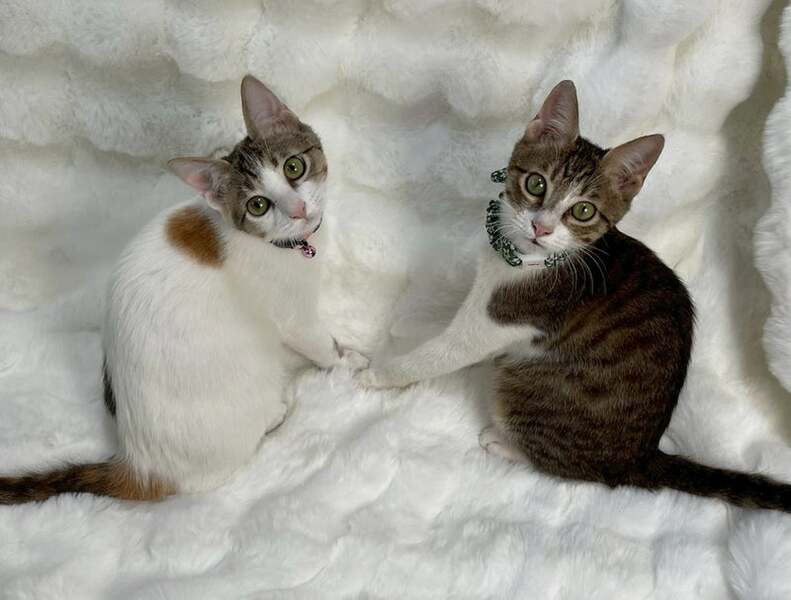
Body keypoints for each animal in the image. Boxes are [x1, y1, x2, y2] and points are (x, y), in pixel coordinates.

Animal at [0, 75, 366, 504]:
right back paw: (276, 410)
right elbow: (320, 343)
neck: (280, 244)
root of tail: (142, 465)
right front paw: (348, 362)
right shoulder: (293, 315)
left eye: (295, 167)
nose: (299, 210)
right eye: (258, 205)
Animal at [358, 80, 791, 512]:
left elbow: (438, 353)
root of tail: (640, 456)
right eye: (536, 184)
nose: (542, 226)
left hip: (524, 387)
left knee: (574, 468)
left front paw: (372, 373)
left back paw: (501, 441)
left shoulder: (505, 316)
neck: (521, 258)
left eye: (583, 211)